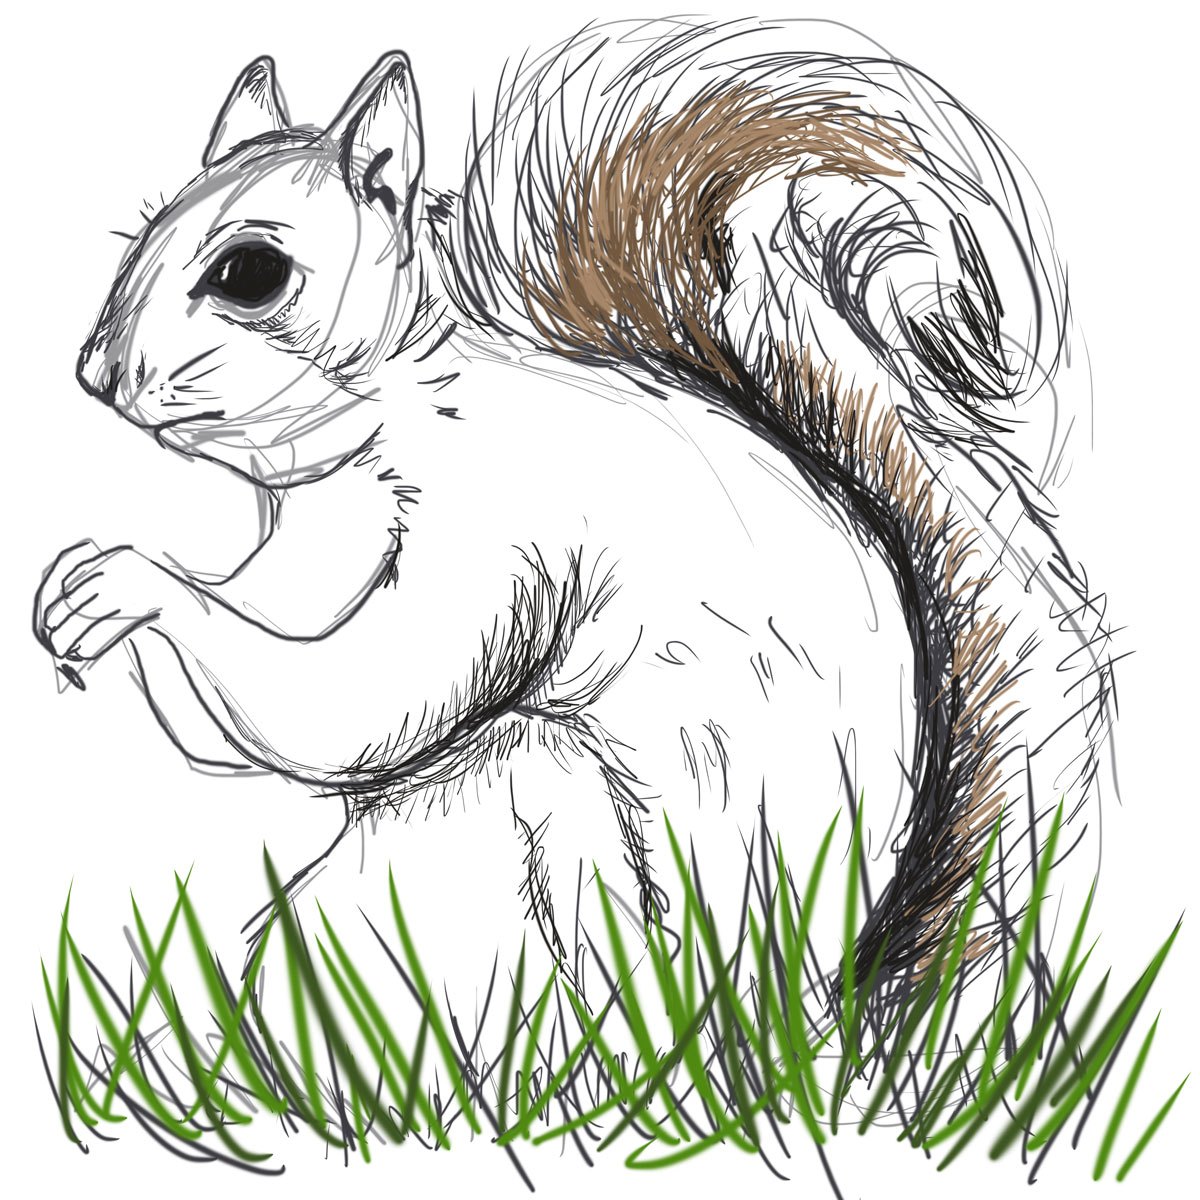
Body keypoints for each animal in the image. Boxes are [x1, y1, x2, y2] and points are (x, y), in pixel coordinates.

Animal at [33, 17, 1118, 1003]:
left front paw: (136, 586)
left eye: (253, 273)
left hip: (546, 827)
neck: (389, 418)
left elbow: (370, 703)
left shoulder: (507, 528)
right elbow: (277, 624)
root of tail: (797, 1011)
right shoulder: (321, 527)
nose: (92, 375)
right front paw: (79, 597)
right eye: (145, 233)